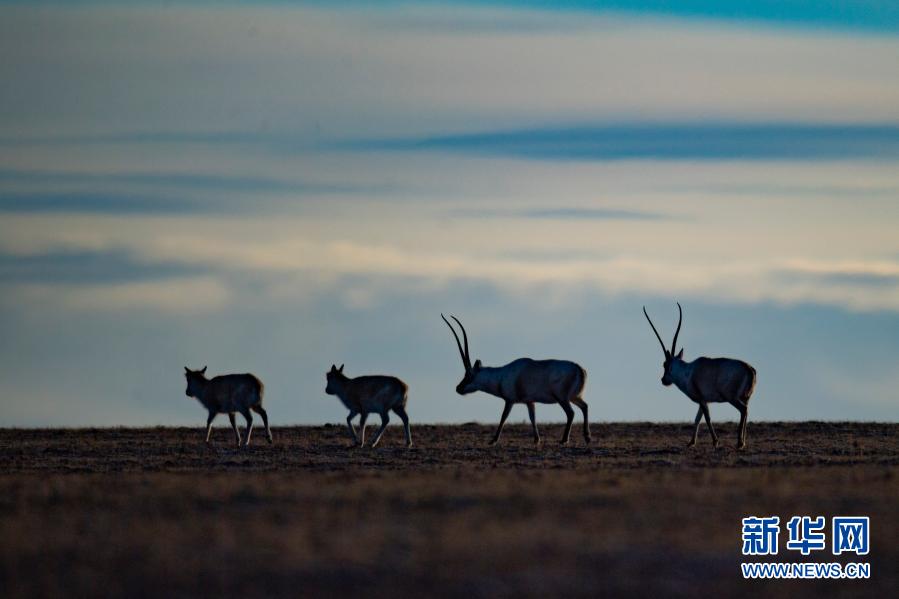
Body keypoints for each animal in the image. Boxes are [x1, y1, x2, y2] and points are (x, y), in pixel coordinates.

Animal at [442, 314, 592, 446]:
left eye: (469, 375)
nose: (458, 388)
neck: (501, 375)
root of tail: (579, 368)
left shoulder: (510, 400)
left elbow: (503, 417)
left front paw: (493, 440)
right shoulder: (530, 402)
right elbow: (532, 418)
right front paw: (536, 440)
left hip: (562, 398)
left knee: (571, 413)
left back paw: (564, 440)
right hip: (574, 397)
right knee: (584, 406)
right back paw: (587, 437)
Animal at [644, 304, 756, 450]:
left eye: (665, 364)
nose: (664, 380)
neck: (688, 371)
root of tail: (749, 368)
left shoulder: (702, 400)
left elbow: (707, 418)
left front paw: (715, 442)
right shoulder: (704, 401)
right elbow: (697, 418)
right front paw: (691, 442)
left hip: (732, 398)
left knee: (743, 410)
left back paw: (739, 443)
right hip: (745, 398)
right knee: (747, 412)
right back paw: (744, 442)